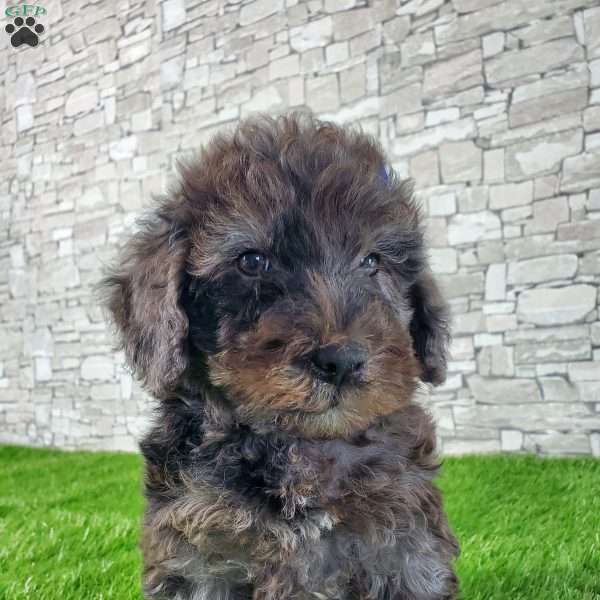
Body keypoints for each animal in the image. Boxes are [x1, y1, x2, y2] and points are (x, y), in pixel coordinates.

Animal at [103, 113, 460, 600]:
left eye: (372, 261)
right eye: (252, 261)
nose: (341, 361)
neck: (301, 451)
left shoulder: (404, 546)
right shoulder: (201, 554)